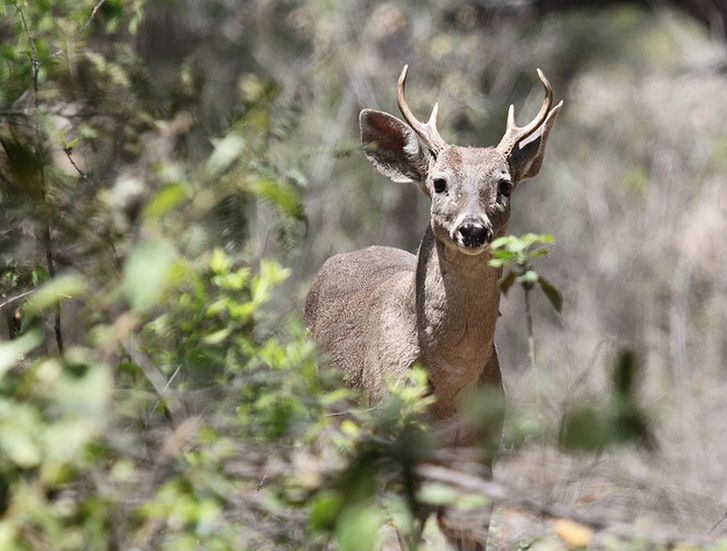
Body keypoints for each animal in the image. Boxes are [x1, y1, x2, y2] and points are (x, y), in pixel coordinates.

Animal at [302, 66, 564, 551]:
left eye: (504, 185)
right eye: (440, 183)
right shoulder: (394, 451)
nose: (473, 229)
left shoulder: (478, 459)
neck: (446, 388)